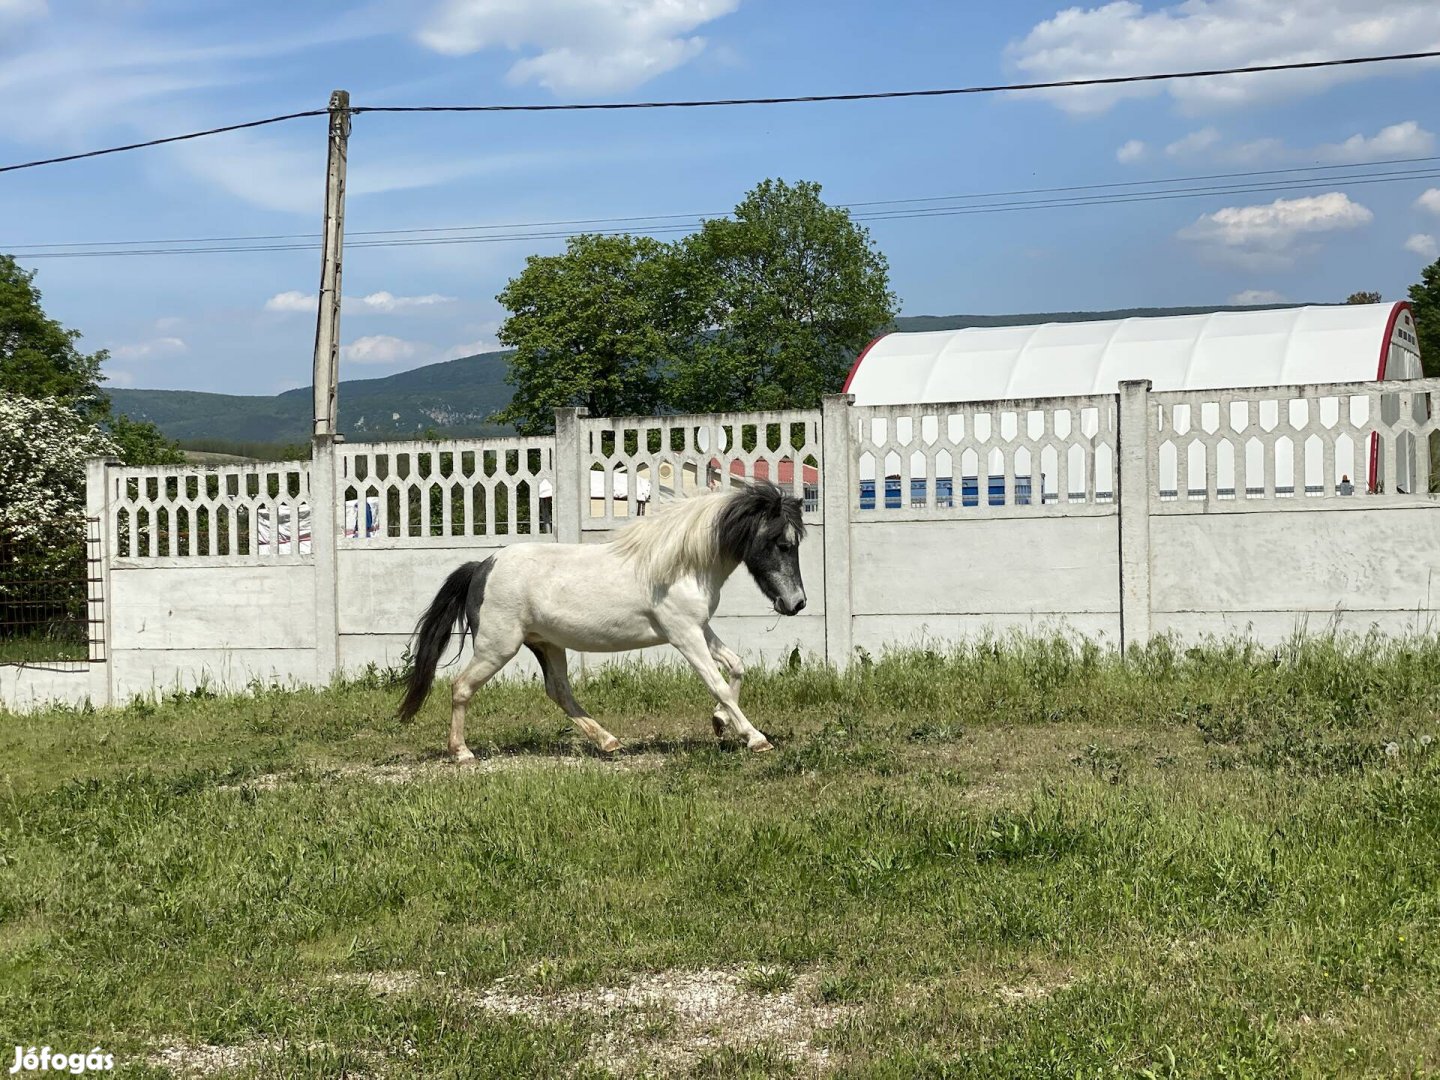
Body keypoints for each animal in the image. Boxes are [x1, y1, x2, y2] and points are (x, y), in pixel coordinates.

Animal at [400, 480, 812, 760]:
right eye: (782, 544)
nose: (796, 603)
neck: (679, 565)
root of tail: (482, 566)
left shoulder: (700, 628)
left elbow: (737, 667)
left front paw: (720, 723)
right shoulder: (683, 634)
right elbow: (718, 684)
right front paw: (755, 738)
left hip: (546, 644)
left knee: (559, 691)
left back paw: (609, 742)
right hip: (497, 648)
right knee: (460, 686)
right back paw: (461, 752)